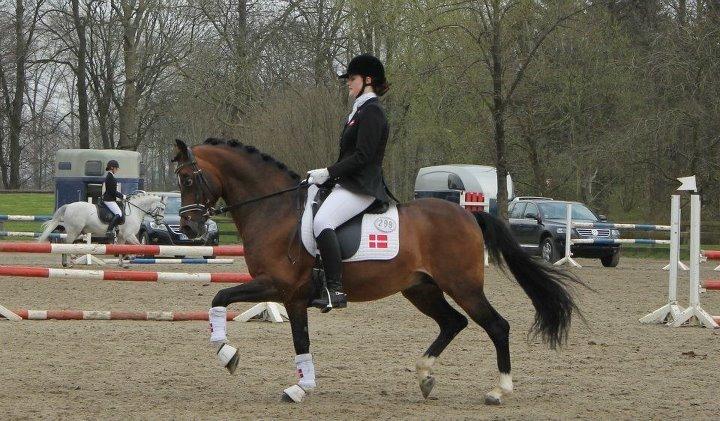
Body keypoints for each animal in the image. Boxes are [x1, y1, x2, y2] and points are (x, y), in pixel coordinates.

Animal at [172, 138, 583, 405]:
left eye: (188, 179)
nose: (189, 228)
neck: (276, 211)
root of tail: (468, 214)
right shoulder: (288, 296)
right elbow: (283, 332)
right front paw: (294, 382)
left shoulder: (280, 288)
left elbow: (223, 297)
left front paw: (230, 354)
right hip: (421, 289)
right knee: (453, 323)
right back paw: (425, 376)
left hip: (463, 286)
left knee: (496, 326)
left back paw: (499, 390)